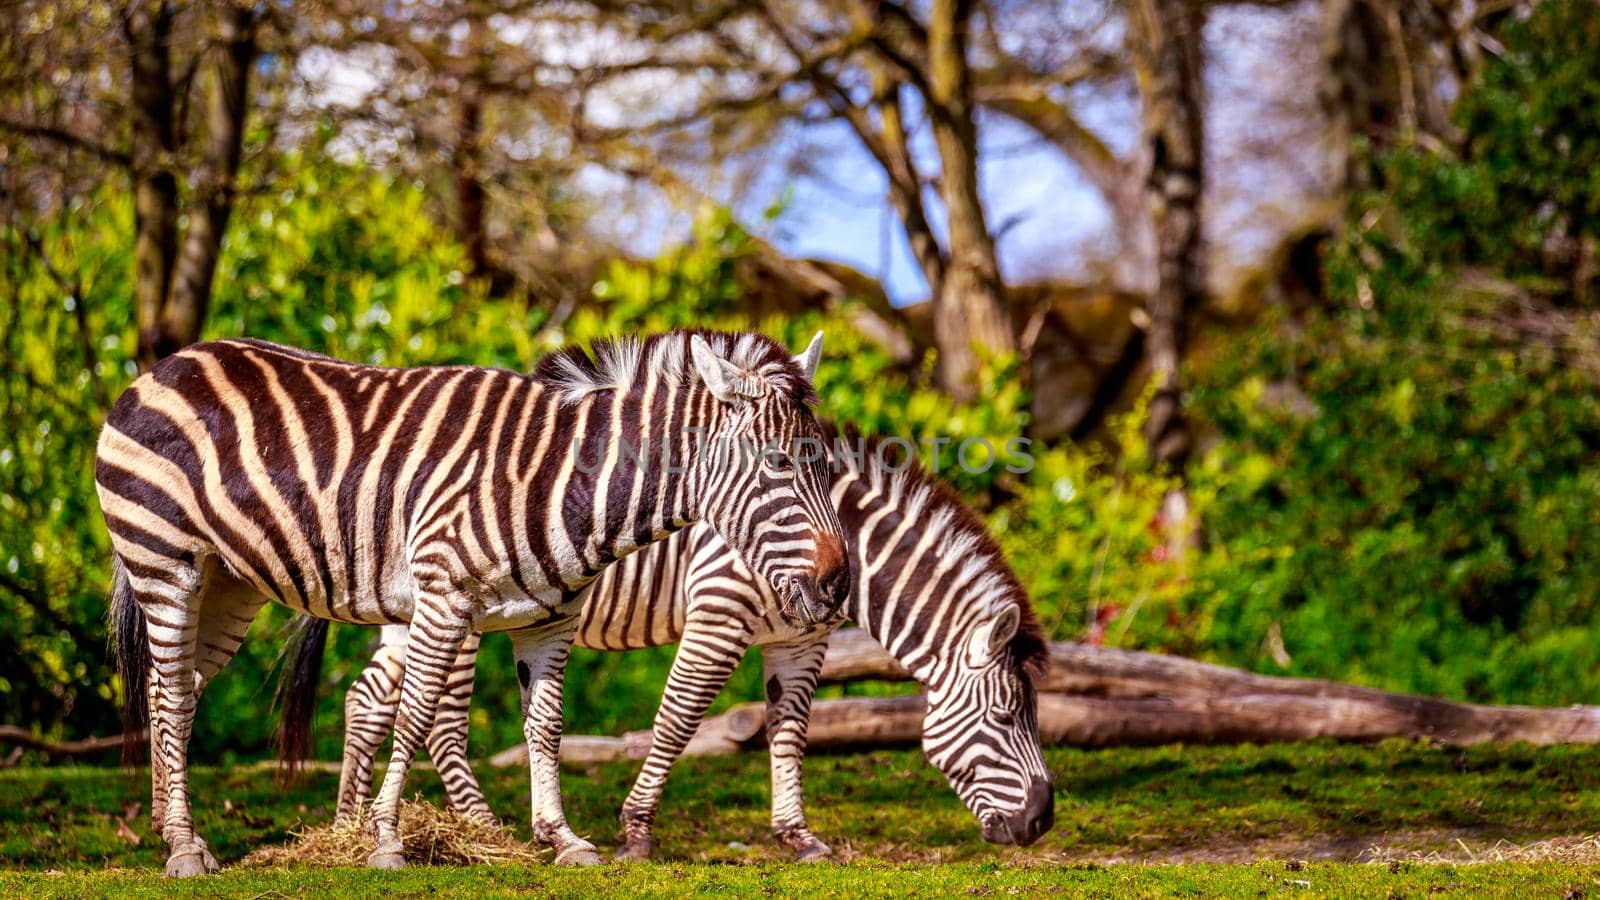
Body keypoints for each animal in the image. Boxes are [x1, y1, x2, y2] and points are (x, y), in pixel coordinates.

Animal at [96, 325, 851, 871]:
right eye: (779, 464)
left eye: (827, 466)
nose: (839, 584)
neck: (559, 479)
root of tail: (165, 365)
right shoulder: (442, 597)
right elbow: (416, 715)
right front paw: (386, 841)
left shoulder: (550, 620)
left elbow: (545, 726)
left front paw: (561, 838)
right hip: (165, 560)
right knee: (171, 693)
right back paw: (184, 848)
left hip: (228, 583)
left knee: (174, 692)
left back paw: (171, 831)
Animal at [284, 422, 1062, 858]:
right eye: (1005, 717)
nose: (1041, 823)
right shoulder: (719, 611)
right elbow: (677, 720)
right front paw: (635, 833)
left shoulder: (800, 640)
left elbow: (790, 731)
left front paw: (799, 838)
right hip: (454, 609)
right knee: (438, 720)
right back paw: (484, 831)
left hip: (409, 615)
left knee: (366, 700)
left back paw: (348, 827)